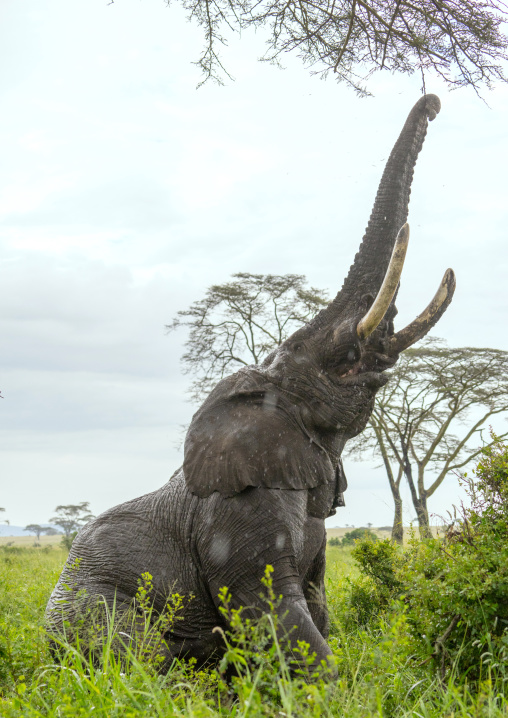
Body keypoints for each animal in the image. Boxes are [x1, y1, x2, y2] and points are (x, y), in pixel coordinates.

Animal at [46, 94, 455, 674]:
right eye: (314, 355)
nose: (433, 103)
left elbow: (317, 608)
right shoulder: (234, 514)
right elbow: (276, 613)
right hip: (87, 606)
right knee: (140, 652)